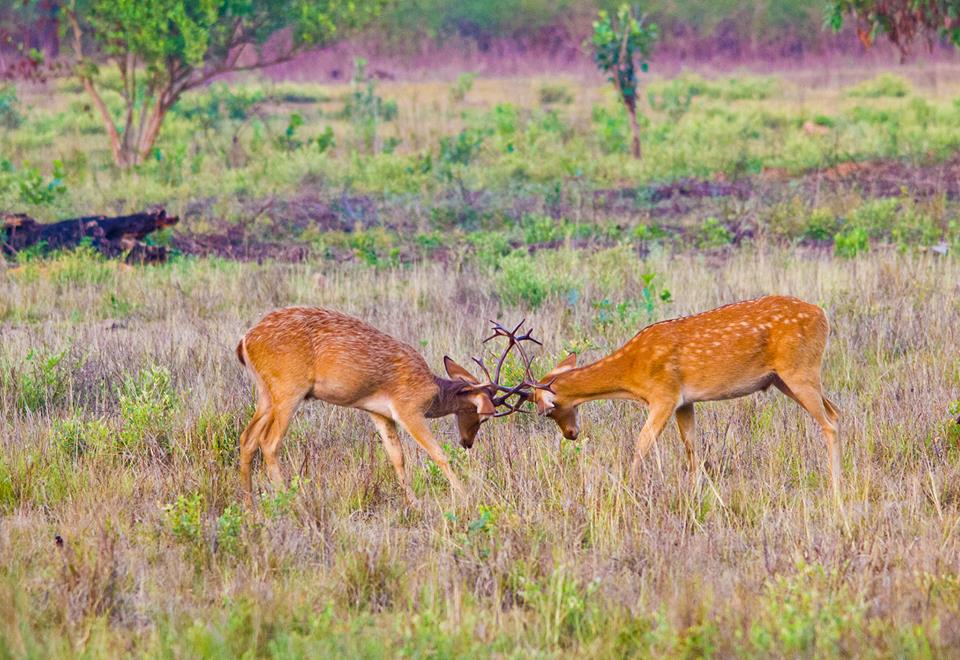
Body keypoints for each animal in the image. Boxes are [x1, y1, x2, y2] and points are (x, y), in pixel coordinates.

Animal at [234, 306, 532, 507]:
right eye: (481, 416)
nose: (467, 442)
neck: (433, 391)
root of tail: (245, 341)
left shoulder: (378, 413)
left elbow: (397, 457)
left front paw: (412, 502)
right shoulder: (408, 408)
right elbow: (437, 454)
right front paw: (465, 495)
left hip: (266, 394)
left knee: (247, 438)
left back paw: (250, 506)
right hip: (288, 390)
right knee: (269, 442)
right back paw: (289, 501)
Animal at [520, 296, 842, 502]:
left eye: (550, 410)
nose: (571, 434)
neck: (631, 374)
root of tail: (823, 316)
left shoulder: (664, 395)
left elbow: (641, 444)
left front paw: (628, 491)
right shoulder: (685, 402)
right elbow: (692, 449)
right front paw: (695, 494)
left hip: (800, 370)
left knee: (829, 424)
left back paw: (834, 488)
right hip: (783, 380)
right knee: (836, 412)